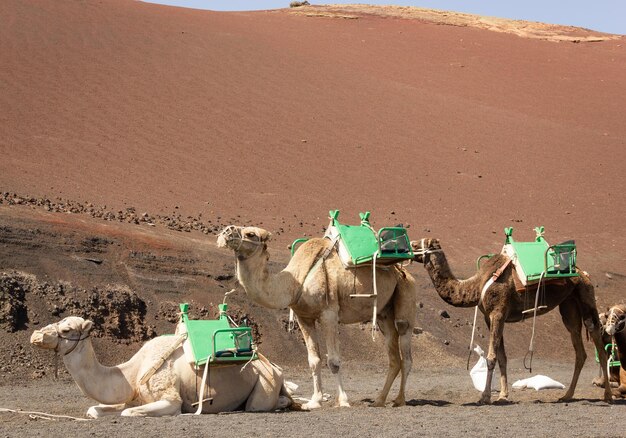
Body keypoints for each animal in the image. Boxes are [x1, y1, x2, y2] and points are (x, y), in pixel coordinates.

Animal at [33, 316, 296, 416]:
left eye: (67, 329)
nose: (36, 335)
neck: (133, 372)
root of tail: (274, 367)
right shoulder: (134, 397)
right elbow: (95, 410)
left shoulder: (170, 399)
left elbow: (129, 412)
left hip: (264, 383)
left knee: (261, 404)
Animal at [217, 226, 416, 410]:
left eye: (251, 234)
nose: (226, 232)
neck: (295, 282)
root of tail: (403, 272)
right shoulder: (304, 317)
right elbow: (313, 360)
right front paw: (314, 401)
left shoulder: (329, 314)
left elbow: (333, 361)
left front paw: (343, 401)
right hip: (384, 313)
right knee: (394, 356)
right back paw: (379, 401)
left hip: (405, 293)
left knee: (405, 348)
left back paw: (399, 400)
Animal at [410, 238, 608, 406]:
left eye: (419, 243)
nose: (410, 245)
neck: (476, 286)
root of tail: (583, 273)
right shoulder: (491, 317)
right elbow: (502, 357)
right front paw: (503, 395)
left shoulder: (498, 313)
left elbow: (491, 357)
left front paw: (485, 397)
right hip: (569, 305)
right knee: (579, 348)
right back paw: (567, 395)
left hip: (586, 297)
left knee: (598, 341)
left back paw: (608, 395)